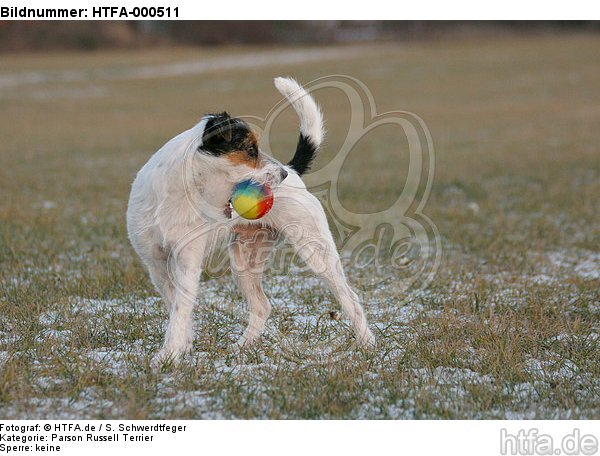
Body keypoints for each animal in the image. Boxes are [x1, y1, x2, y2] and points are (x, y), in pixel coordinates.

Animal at [126, 76, 372, 366]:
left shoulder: (188, 260)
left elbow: (180, 308)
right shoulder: (155, 263)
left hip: (316, 251)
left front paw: (168, 356)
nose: (281, 174)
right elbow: (175, 305)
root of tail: (294, 171)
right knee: (262, 306)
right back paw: (241, 346)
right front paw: (181, 347)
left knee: (350, 297)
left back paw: (368, 344)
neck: (180, 194)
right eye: (251, 149)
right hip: (245, 261)